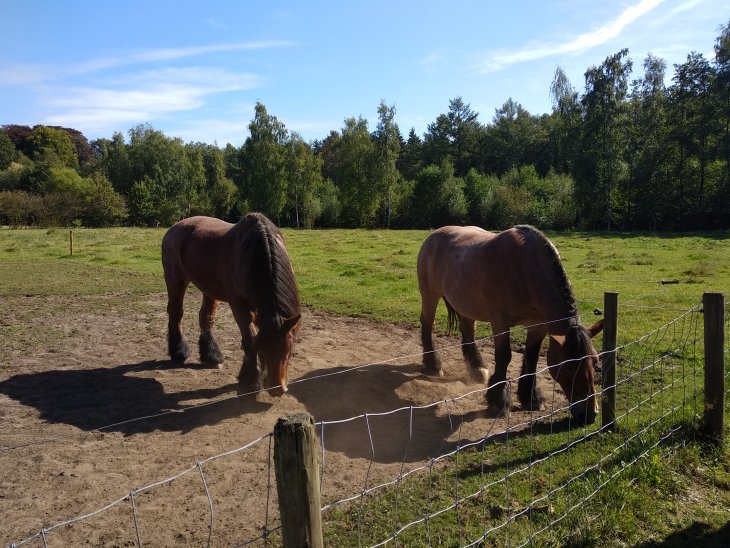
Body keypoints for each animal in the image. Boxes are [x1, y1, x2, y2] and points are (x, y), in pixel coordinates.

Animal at [163, 212, 302, 396]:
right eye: (263, 348)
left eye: (290, 350)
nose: (277, 389)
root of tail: (175, 227)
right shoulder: (239, 306)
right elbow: (249, 340)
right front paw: (250, 382)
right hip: (176, 281)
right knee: (176, 313)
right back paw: (179, 351)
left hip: (209, 289)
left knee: (206, 317)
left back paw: (211, 355)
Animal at [418, 223, 600, 424]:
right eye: (569, 366)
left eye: (596, 363)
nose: (590, 414)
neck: (524, 269)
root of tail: (434, 235)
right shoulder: (500, 320)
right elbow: (504, 356)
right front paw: (499, 401)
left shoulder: (538, 326)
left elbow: (532, 358)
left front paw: (531, 398)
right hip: (430, 295)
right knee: (428, 324)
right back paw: (433, 365)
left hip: (467, 304)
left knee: (467, 331)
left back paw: (477, 368)